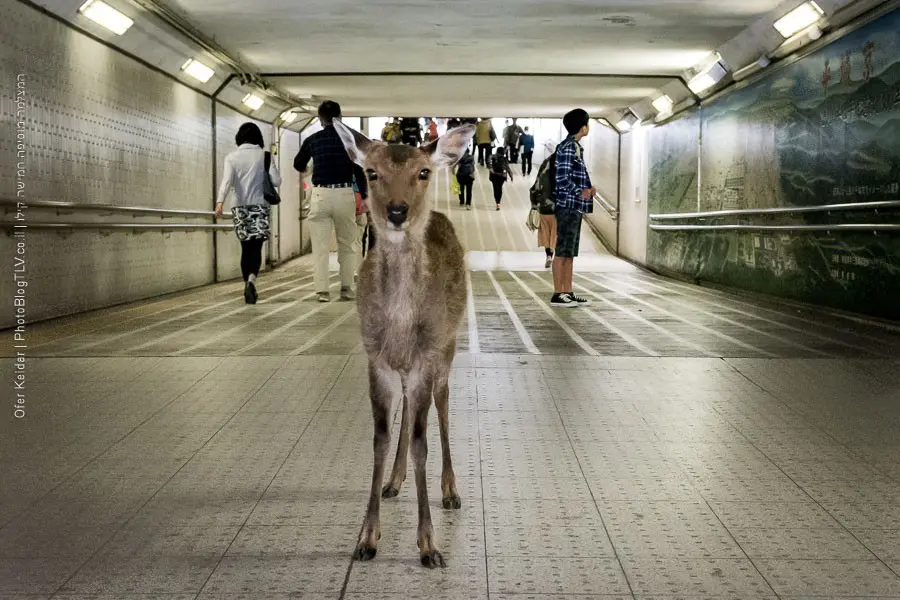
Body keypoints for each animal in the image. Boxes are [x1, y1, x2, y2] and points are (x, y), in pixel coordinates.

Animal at [333, 119, 475, 568]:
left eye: (423, 172)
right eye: (371, 172)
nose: (397, 212)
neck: (398, 327)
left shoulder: (425, 359)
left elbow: (420, 444)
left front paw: (429, 546)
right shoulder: (376, 360)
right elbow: (380, 439)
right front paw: (367, 538)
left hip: (447, 348)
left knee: (442, 406)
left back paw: (450, 491)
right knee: (411, 412)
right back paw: (394, 483)